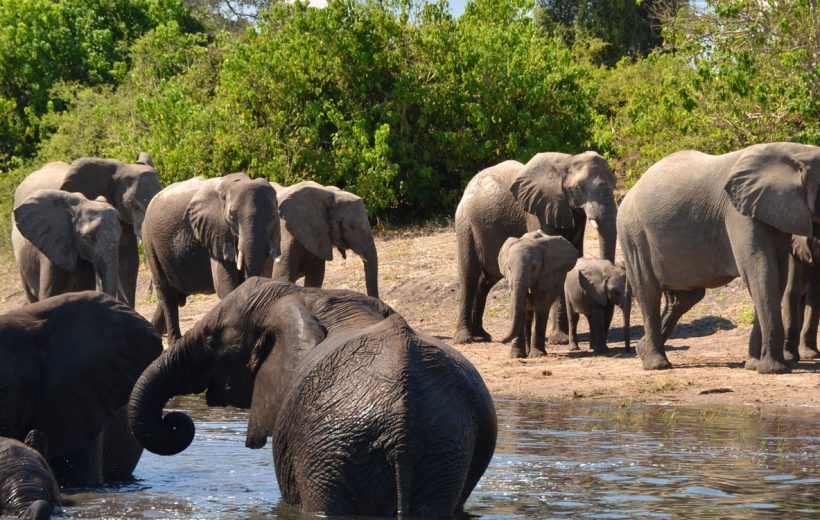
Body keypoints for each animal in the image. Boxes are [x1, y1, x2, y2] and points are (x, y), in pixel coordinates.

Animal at [128, 278, 498, 518]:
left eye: (211, 338)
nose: (176, 420)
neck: (306, 294)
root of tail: (401, 430)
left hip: (330, 449)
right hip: (441, 451)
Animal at [142, 173, 280, 344]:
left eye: (273, 216)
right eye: (232, 216)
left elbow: (266, 275)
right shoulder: (216, 232)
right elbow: (225, 283)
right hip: (149, 241)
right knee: (167, 294)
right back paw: (174, 341)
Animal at [453, 152, 618, 346]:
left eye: (614, 184)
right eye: (579, 188)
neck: (568, 161)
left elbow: (571, 258)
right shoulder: (538, 211)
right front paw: (560, 340)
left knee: (486, 280)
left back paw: (482, 335)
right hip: (465, 224)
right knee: (469, 275)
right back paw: (465, 339)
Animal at [617, 142, 820, 373]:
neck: (796, 152)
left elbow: (777, 277)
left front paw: (753, 365)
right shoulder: (739, 214)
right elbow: (760, 270)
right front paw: (772, 370)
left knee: (686, 297)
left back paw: (641, 350)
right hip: (633, 234)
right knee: (648, 292)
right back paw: (657, 364)